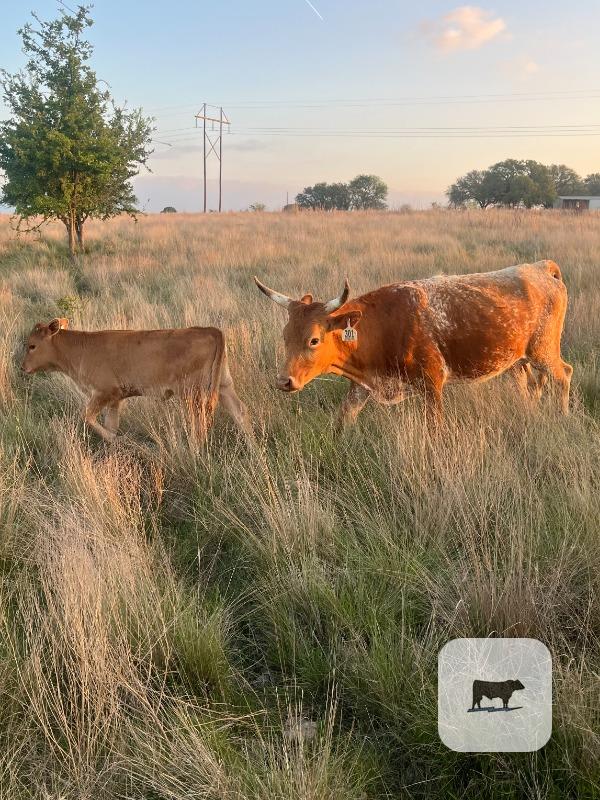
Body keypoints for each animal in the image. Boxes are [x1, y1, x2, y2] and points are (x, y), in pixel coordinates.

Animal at [21, 319, 251, 441]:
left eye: (32, 345)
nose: (23, 367)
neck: (80, 348)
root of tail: (209, 329)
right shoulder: (115, 400)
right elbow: (110, 424)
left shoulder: (105, 392)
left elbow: (87, 417)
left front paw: (116, 440)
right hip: (224, 386)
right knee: (240, 413)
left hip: (192, 393)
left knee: (200, 424)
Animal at [254, 260, 572, 426]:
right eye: (285, 335)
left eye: (314, 340)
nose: (284, 381)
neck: (382, 324)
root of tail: (540, 268)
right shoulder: (361, 386)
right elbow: (342, 422)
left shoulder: (432, 384)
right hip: (517, 359)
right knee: (530, 383)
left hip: (543, 351)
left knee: (563, 375)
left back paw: (563, 415)